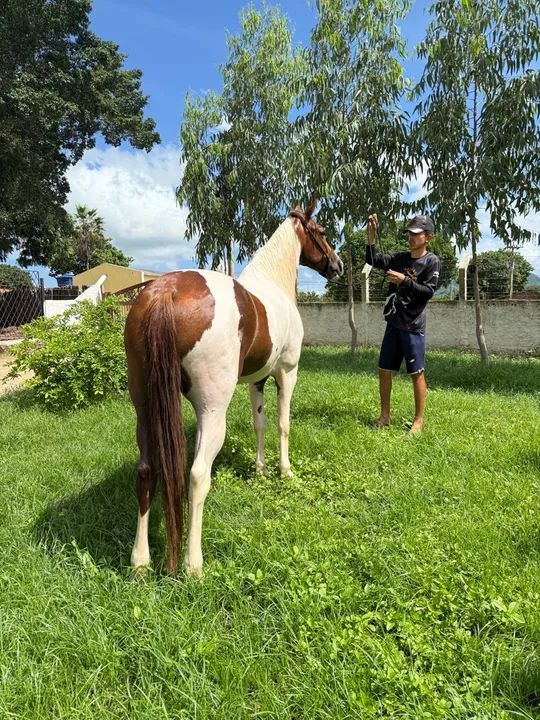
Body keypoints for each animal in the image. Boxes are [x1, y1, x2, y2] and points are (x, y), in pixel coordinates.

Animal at [124, 201, 343, 576]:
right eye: (322, 232)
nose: (338, 265)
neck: (274, 284)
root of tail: (165, 290)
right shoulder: (286, 373)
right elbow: (283, 424)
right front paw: (285, 471)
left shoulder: (257, 378)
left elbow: (260, 423)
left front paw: (260, 470)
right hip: (212, 411)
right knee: (197, 476)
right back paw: (193, 565)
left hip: (146, 407)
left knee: (146, 472)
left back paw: (140, 561)